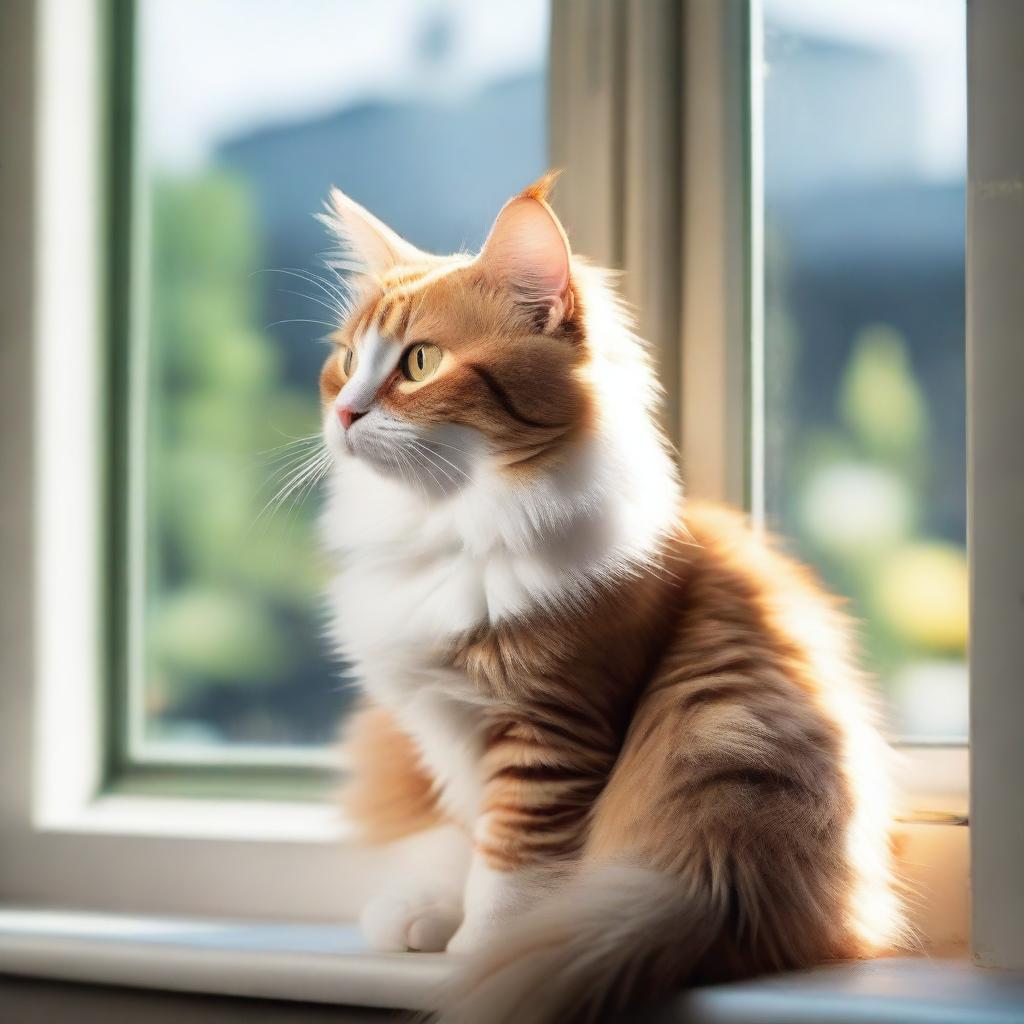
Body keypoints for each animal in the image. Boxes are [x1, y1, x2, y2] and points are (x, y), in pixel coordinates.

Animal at [315, 176, 901, 1024]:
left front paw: (481, 951)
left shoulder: (552, 727)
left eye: (420, 362)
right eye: (346, 360)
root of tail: (717, 877)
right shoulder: (448, 729)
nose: (343, 412)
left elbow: (510, 863)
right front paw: (431, 916)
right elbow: (467, 834)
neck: (451, 526)